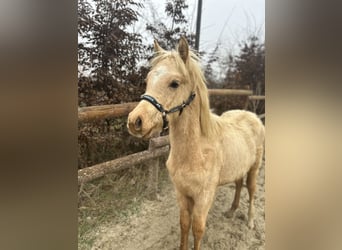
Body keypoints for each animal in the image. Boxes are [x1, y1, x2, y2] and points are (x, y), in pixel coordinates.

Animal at [127, 37, 266, 250]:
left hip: (254, 168)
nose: (135, 121)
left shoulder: (204, 196)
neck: (196, 152)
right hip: (238, 168)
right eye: (148, 81)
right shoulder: (182, 193)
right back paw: (231, 211)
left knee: (251, 191)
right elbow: (184, 224)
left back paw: (250, 222)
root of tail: (253, 116)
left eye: (174, 83)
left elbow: (198, 229)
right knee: (238, 184)